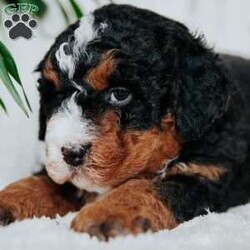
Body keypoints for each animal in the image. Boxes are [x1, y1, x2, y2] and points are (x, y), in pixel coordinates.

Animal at [0, 3, 250, 241]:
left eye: (120, 94)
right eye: (56, 96)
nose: (71, 153)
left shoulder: (205, 176)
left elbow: (145, 187)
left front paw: (105, 213)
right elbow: (39, 182)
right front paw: (7, 200)